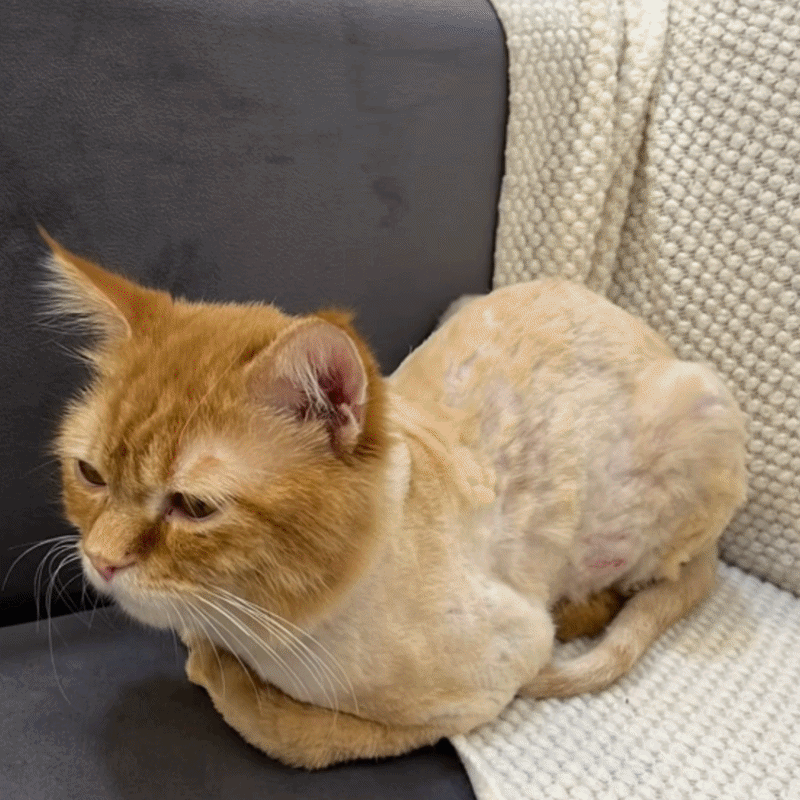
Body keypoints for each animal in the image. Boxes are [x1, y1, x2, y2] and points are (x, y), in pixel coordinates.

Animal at [44, 230, 747, 769]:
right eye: (91, 474)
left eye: (193, 508)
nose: (101, 560)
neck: (262, 621)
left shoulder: (490, 680)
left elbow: (297, 733)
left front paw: (222, 677)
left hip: (697, 423)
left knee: (648, 582)